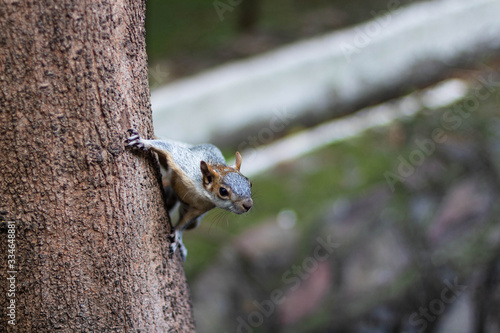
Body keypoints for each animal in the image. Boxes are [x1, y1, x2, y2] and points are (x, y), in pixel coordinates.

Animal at [125, 127, 254, 260]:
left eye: (249, 183)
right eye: (223, 191)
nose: (248, 205)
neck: (201, 192)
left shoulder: (200, 208)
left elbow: (185, 222)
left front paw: (177, 235)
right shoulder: (185, 164)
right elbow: (169, 149)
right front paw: (142, 141)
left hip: (192, 219)